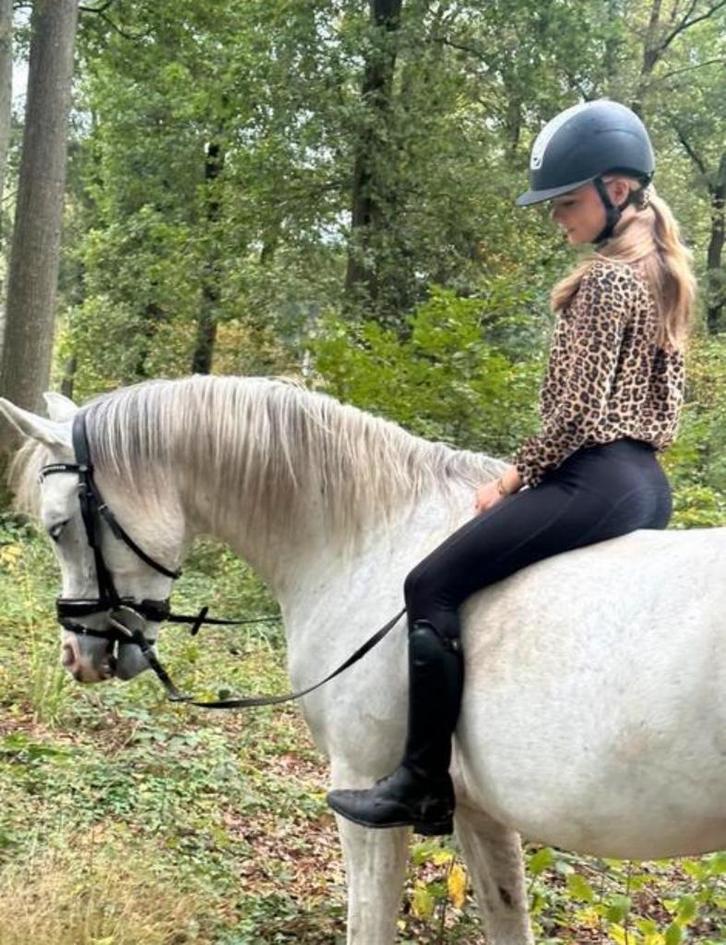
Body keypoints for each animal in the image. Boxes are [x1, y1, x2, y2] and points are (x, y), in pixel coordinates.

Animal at [0, 374, 724, 945]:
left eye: (59, 527)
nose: (77, 654)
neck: (371, 536)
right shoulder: (479, 812)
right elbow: (506, 917)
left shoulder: (363, 791)